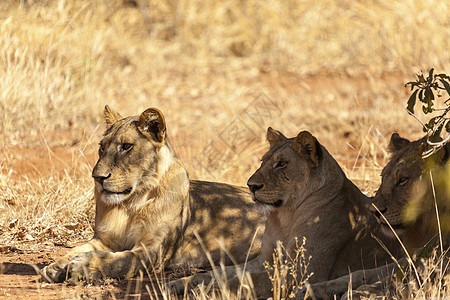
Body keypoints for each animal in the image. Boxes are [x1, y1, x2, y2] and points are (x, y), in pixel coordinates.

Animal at [40, 106, 266, 284]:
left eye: (126, 146)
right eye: (101, 147)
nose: (97, 177)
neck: (131, 203)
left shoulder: (153, 250)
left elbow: (121, 261)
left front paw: (84, 266)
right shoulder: (104, 240)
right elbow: (77, 248)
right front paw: (56, 266)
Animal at [170, 127, 400, 298]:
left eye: (281, 164)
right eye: (262, 161)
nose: (251, 186)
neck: (285, 216)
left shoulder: (301, 272)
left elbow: (245, 280)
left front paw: (210, 292)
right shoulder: (264, 260)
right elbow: (220, 272)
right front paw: (180, 283)